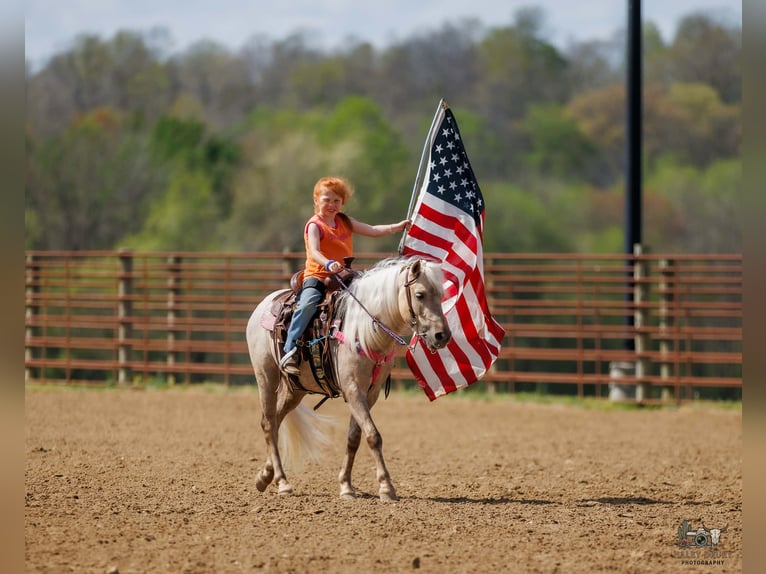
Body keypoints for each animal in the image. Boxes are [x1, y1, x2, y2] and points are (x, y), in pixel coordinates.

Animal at [245, 256, 451, 501]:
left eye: (441, 294)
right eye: (420, 294)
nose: (442, 336)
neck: (364, 330)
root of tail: (266, 303)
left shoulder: (370, 393)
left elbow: (354, 437)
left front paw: (346, 486)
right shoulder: (352, 388)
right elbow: (373, 435)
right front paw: (386, 487)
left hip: (295, 389)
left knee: (276, 421)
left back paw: (265, 476)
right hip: (266, 376)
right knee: (268, 423)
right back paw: (282, 482)